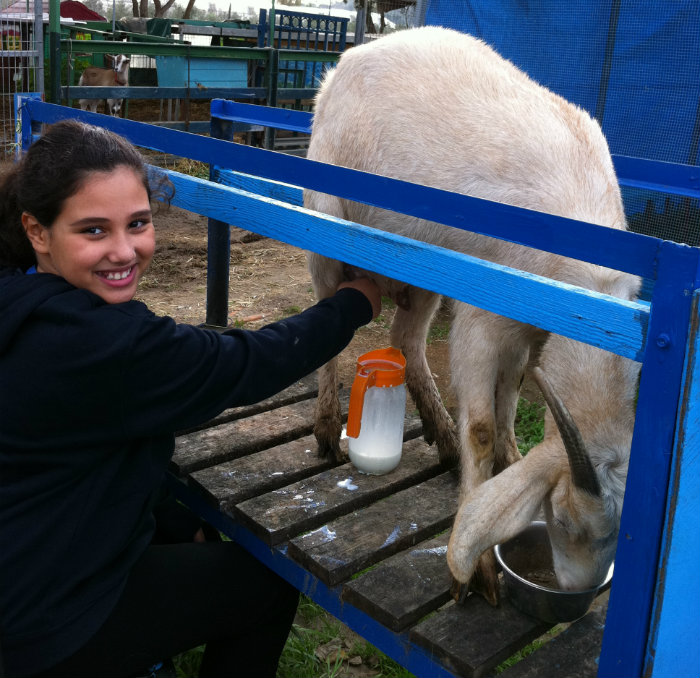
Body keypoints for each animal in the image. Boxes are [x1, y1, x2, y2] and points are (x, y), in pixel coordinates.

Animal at [304, 29, 644, 608]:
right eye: (565, 521)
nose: (577, 589)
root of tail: (350, 57)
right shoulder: (485, 315)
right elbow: (483, 427)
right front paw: (478, 572)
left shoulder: (526, 328)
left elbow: (510, 402)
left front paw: (508, 457)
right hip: (324, 224)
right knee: (327, 312)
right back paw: (328, 426)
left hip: (422, 266)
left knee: (406, 338)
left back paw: (441, 433)